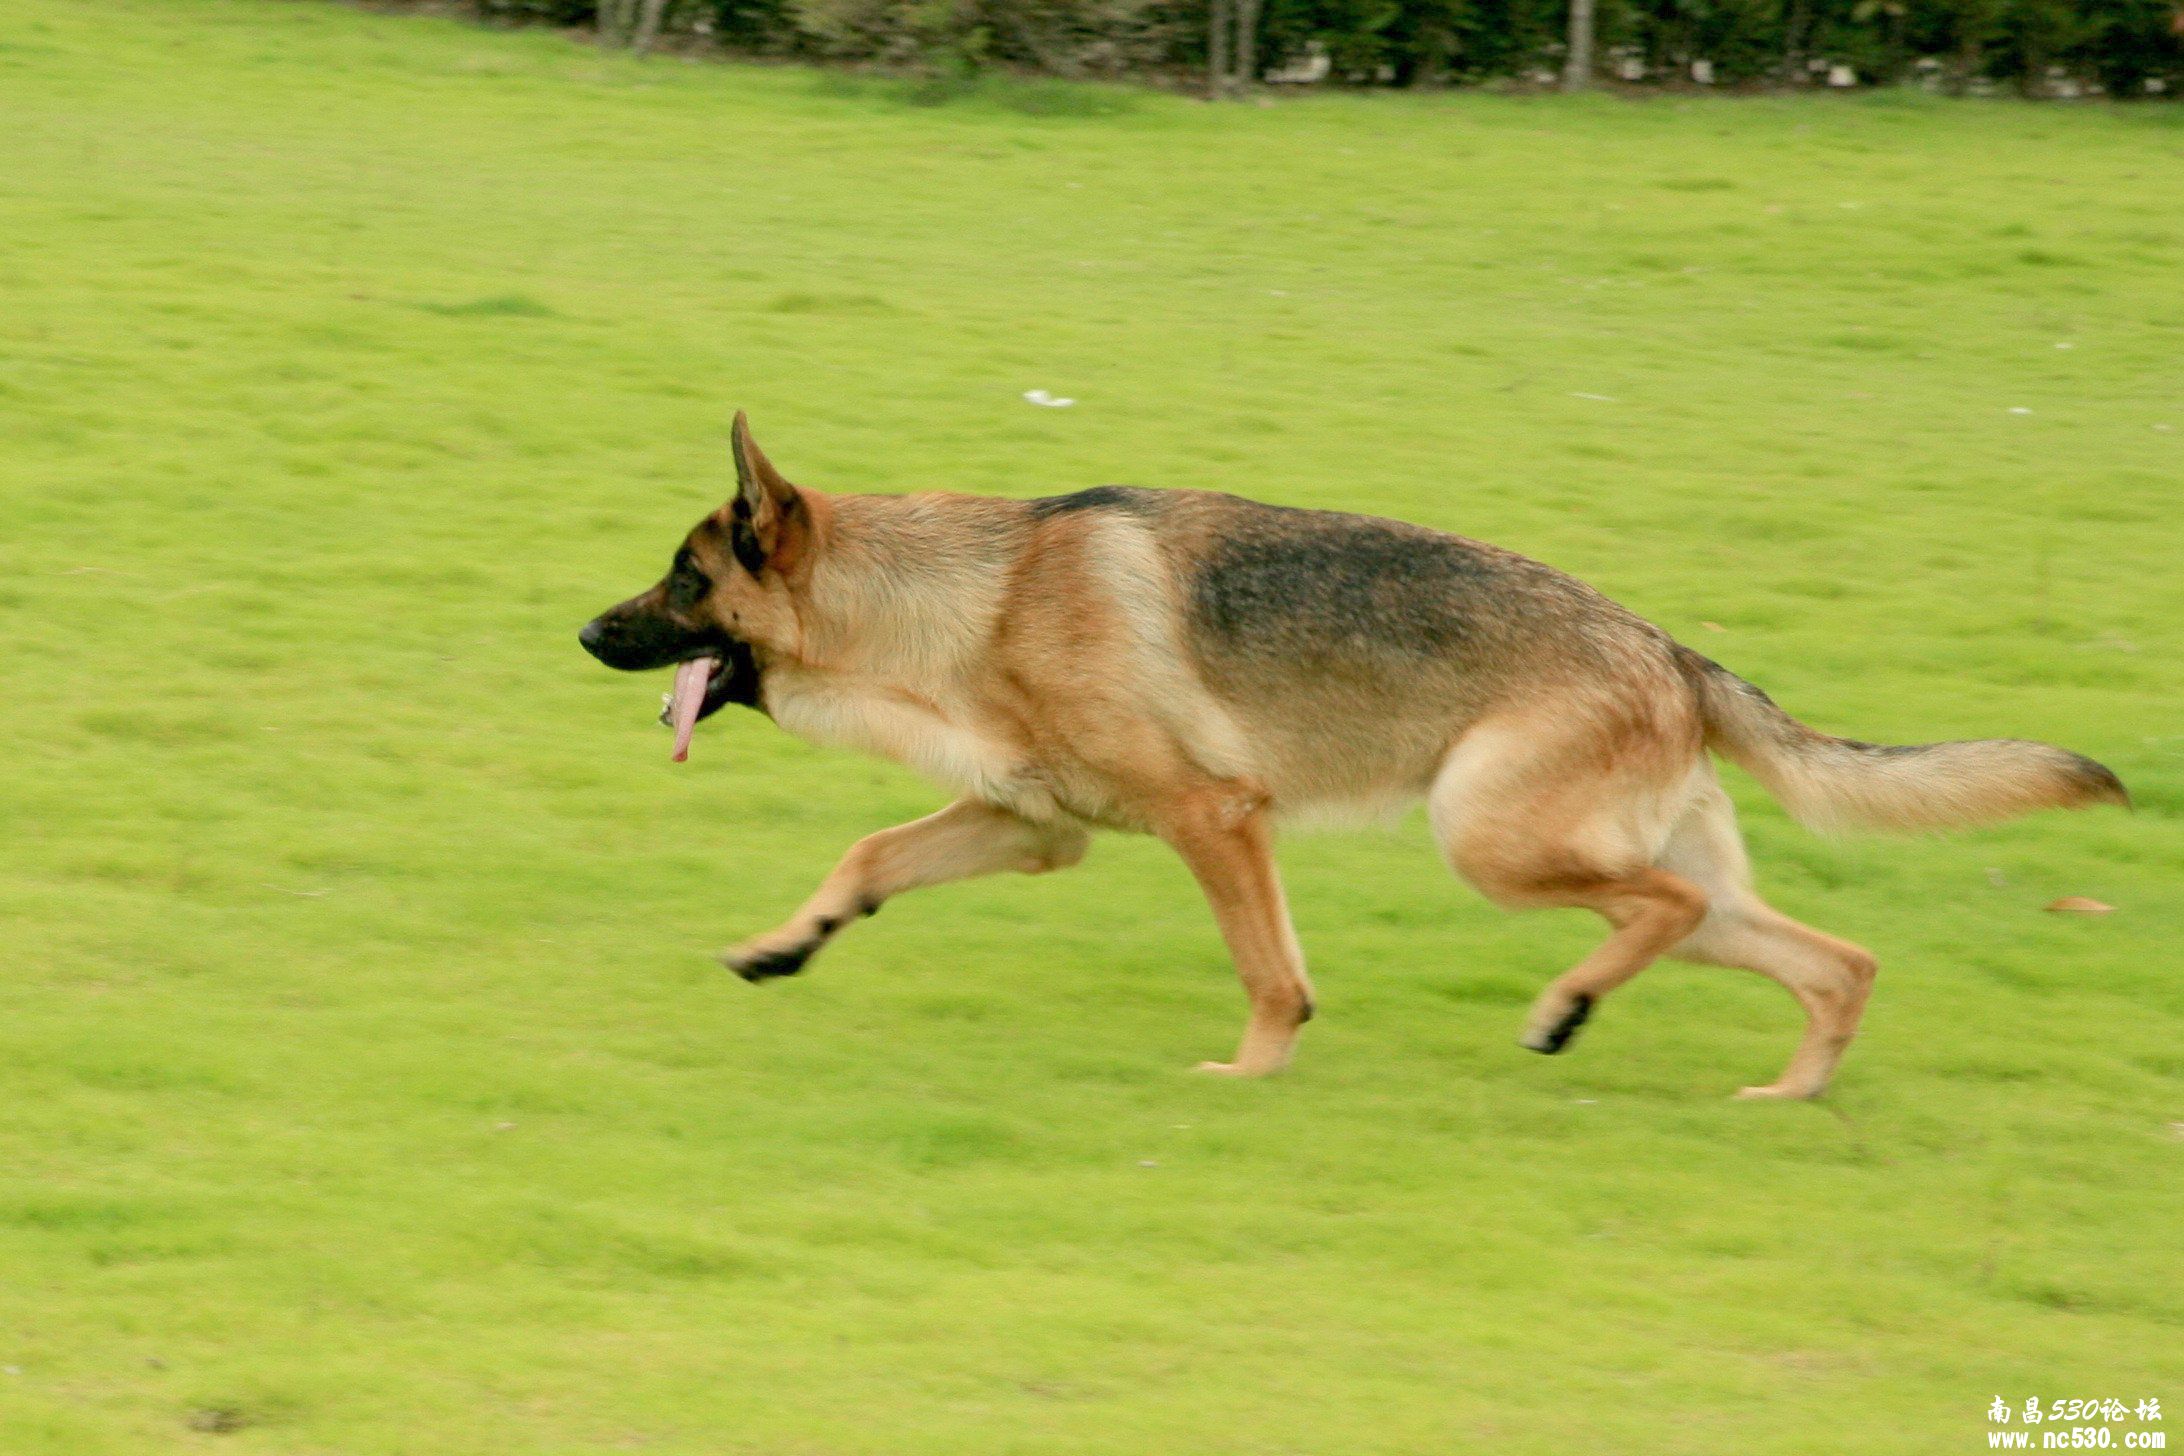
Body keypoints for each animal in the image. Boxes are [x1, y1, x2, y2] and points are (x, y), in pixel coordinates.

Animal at [585, 414, 2131, 1100]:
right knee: (1832, 960)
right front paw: (783, 947)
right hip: (1656, 876)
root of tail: (1669, 650)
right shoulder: (1034, 825)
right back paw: (1786, 1094)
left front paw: (1250, 1073)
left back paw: (1564, 1010)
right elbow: (865, 857)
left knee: (1662, 910)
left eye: (683, 579)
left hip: (1489, 837)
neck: (970, 598)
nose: (581, 630)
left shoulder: (1214, 818)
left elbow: (1268, 968)